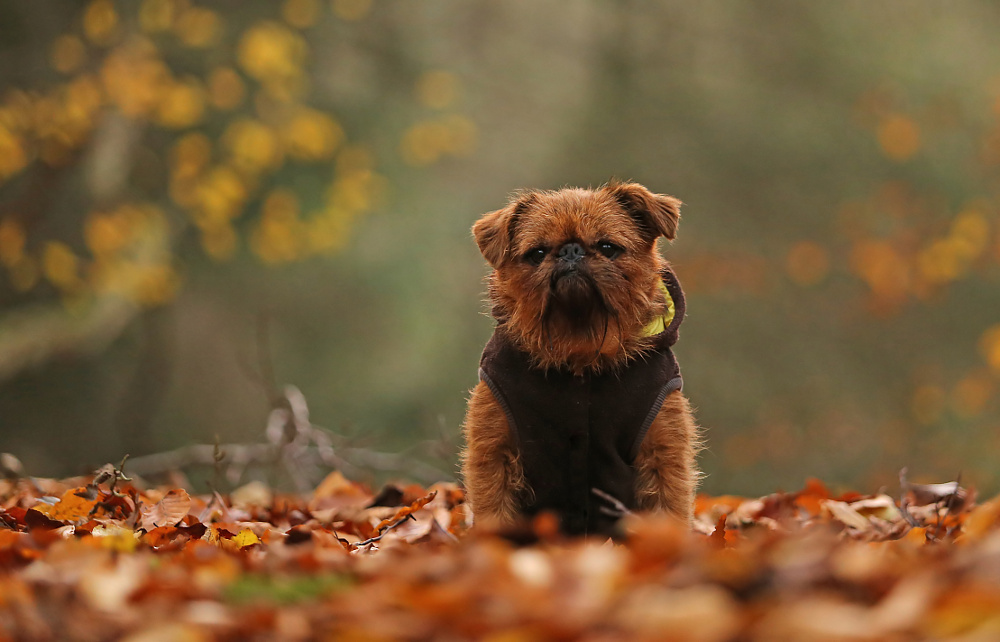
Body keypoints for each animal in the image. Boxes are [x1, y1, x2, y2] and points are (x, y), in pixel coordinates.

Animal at [460, 180, 704, 536]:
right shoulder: (495, 452)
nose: (571, 251)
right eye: (537, 253)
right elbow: (495, 510)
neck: (579, 348)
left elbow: (667, 508)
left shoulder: (664, 453)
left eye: (607, 247)